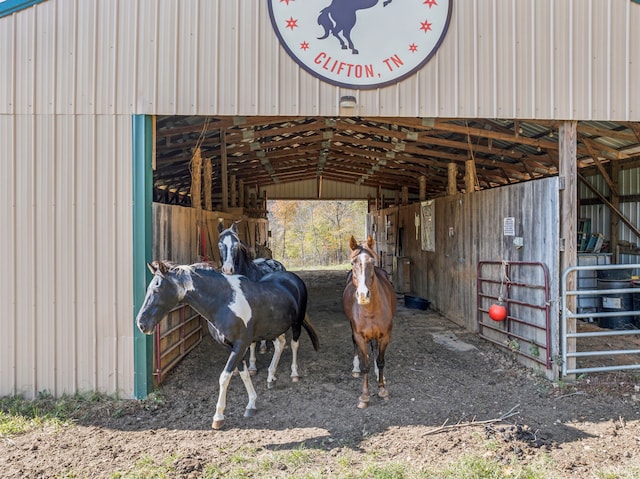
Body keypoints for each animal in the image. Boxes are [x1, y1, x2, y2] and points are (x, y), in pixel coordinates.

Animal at [139, 262, 320, 432]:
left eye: (157, 288)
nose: (141, 324)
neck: (223, 302)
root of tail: (292, 278)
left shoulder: (241, 345)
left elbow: (224, 377)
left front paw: (218, 417)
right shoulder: (230, 346)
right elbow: (243, 373)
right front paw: (251, 404)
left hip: (296, 323)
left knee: (294, 344)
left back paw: (294, 374)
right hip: (272, 328)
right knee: (280, 343)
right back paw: (270, 378)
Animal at [344, 236, 396, 408]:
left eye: (372, 262)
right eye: (352, 263)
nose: (362, 295)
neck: (370, 310)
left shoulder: (385, 336)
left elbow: (380, 361)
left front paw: (382, 389)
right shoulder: (360, 337)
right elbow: (365, 364)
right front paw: (365, 396)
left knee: (374, 348)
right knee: (354, 342)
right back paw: (355, 368)